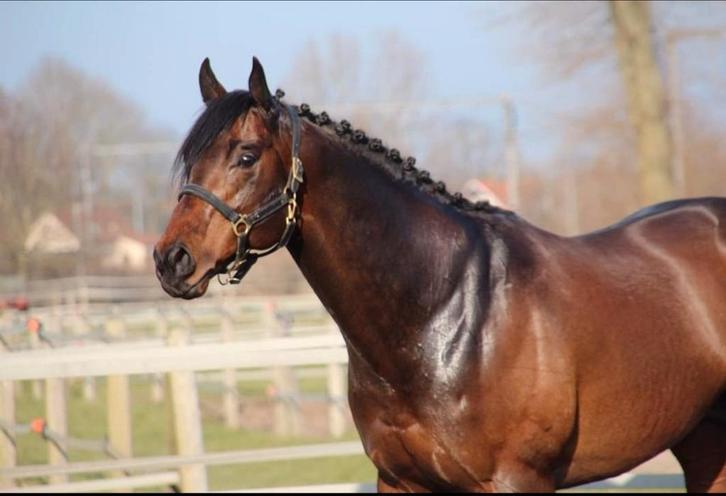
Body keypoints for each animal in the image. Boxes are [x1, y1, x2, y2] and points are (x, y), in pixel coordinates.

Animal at [154, 57, 726, 492]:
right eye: (190, 160)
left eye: (246, 157)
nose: (171, 260)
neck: (445, 310)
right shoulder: (399, 480)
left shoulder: (516, 481)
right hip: (704, 443)